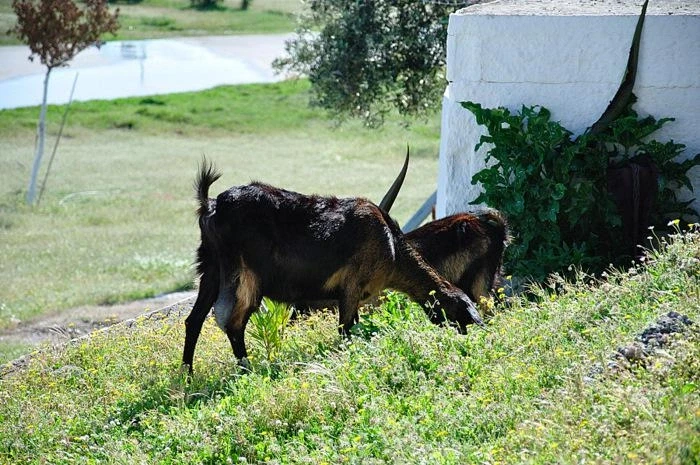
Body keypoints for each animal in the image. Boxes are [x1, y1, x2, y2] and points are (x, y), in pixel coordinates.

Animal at [182, 160, 484, 372]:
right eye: (461, 312)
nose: (470, 334)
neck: (392, 247)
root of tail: (211, 205)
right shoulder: (351, 287)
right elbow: (346, 331)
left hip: (210, 268)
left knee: (194, 320)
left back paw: (189, 376)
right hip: (246, 275)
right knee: (233, 323)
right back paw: (246, 370)